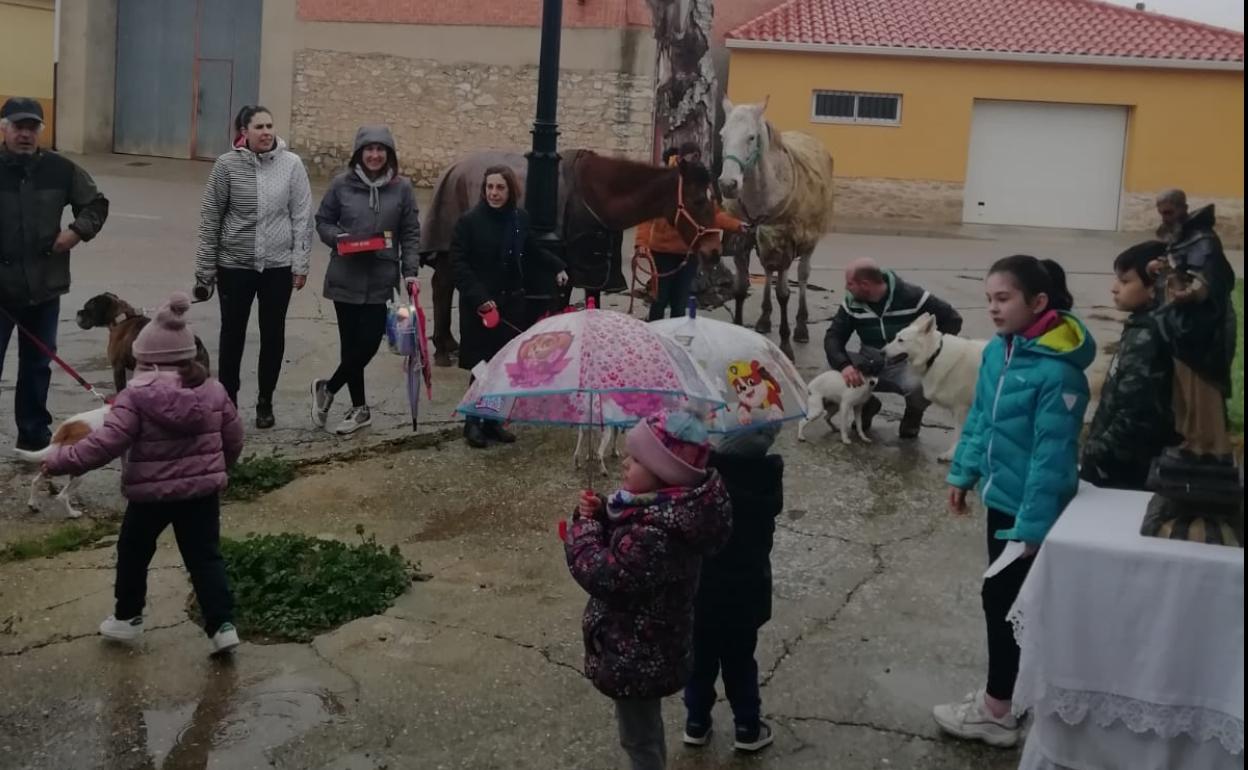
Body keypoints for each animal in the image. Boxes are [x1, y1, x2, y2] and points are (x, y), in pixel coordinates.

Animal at [419, 152, 718, 366]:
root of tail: (453, 169)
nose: (714, 250)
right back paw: (442, 349)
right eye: (699, 201)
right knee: (442, 286)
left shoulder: (593, 269)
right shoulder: (566, 271)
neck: (597, 196)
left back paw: (448, 343)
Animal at [718, 97, 833, 359]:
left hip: (808, 241)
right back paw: (764, 317)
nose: (728, 184)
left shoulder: (785, 243)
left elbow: (784, 293)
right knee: (769, 270)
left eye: (751, 137)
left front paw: (786, 343)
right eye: (722, 135)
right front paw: (738, 329)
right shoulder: (743, 239)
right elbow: (740, 287)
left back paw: (801, 325)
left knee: (802, 276)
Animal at [883, 313, 988, 461]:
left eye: (901, 340)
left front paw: (951, 454)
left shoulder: (961, 409)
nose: (881, 352)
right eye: (895, 337)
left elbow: (958, 434)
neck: (935, 354)